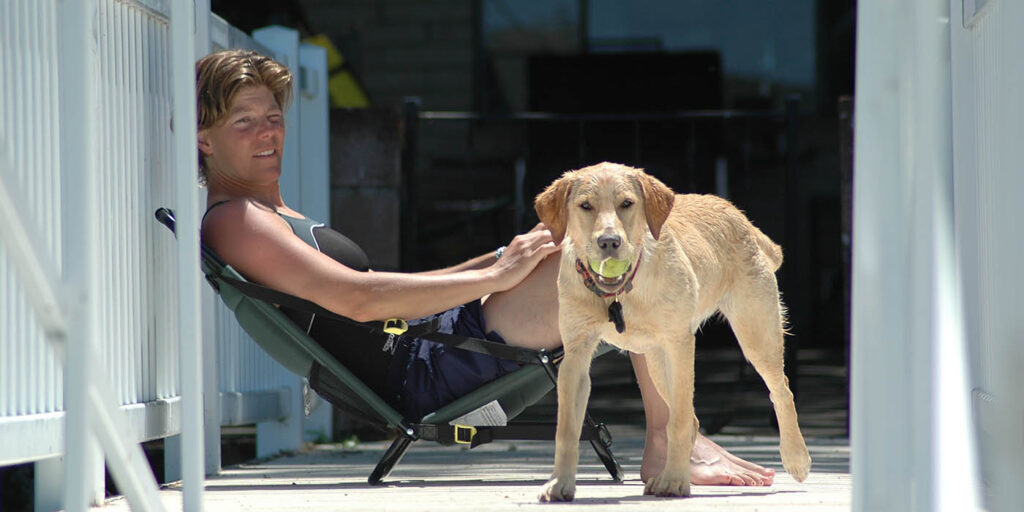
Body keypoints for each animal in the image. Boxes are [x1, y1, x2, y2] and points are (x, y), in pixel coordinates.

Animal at [536, 160, 806, 499]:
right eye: (585, 206)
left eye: (627, 204)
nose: (609, 242)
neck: (621, 293)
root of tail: (737, 213)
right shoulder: (575, 356)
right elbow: (567, 429)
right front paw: (560, 482)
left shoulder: (679, 344)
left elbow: (675, 423)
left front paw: (677, 481)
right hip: (655, 361)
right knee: (692, 419)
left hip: (755, 333)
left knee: (780, 390)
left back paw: (795, 457)